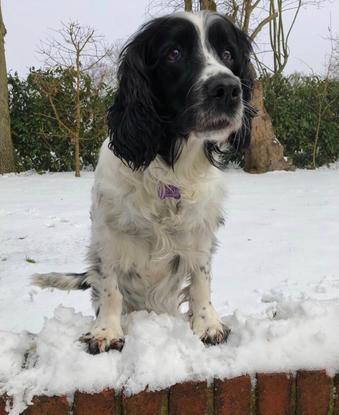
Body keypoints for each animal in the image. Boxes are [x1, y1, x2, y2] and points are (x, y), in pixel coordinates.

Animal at [33, 10, 254, 354]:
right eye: (173, 53)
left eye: (228, 53)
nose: (229, 89)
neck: (170, 168)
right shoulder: (109, 235)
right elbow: (110, 286)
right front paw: (106, 331)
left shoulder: (200, 233)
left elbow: (201, 279)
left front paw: (207, 324)